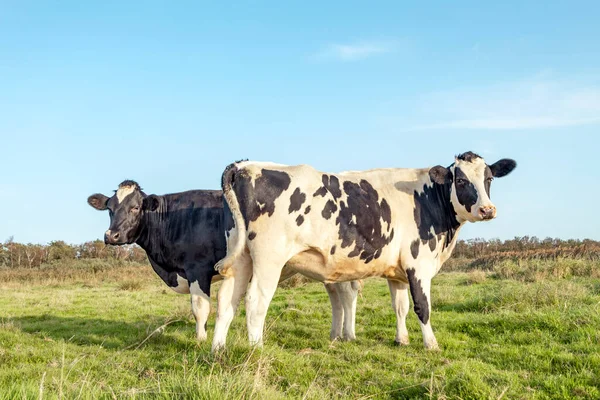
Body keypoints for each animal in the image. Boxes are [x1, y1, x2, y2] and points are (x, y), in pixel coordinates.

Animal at [87, 180, 364, 340]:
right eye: (110, 208)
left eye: (135, 207)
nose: (111, 235)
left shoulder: (198, 269)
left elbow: (200, 308)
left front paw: (200, 340)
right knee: (337, 296)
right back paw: (335, 334)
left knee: (347, 293)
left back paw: (348, 335)